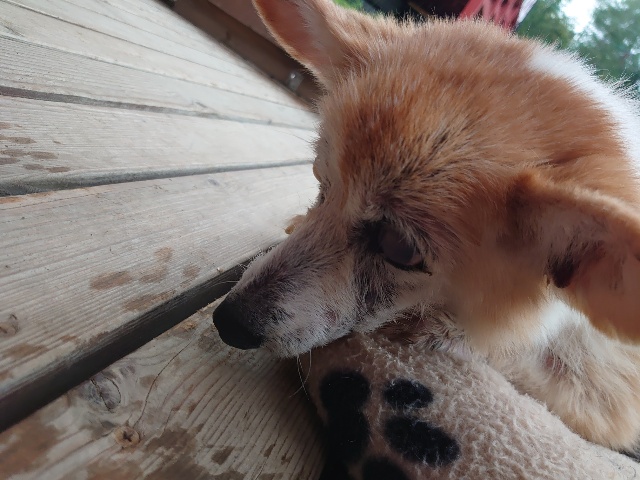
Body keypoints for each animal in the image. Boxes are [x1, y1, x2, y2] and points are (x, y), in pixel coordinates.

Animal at [213, 0, 640, 455]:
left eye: (399, 248)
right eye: (320, 180)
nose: (227, 321)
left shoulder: (605, 401)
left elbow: (501, 351)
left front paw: (442, 331)